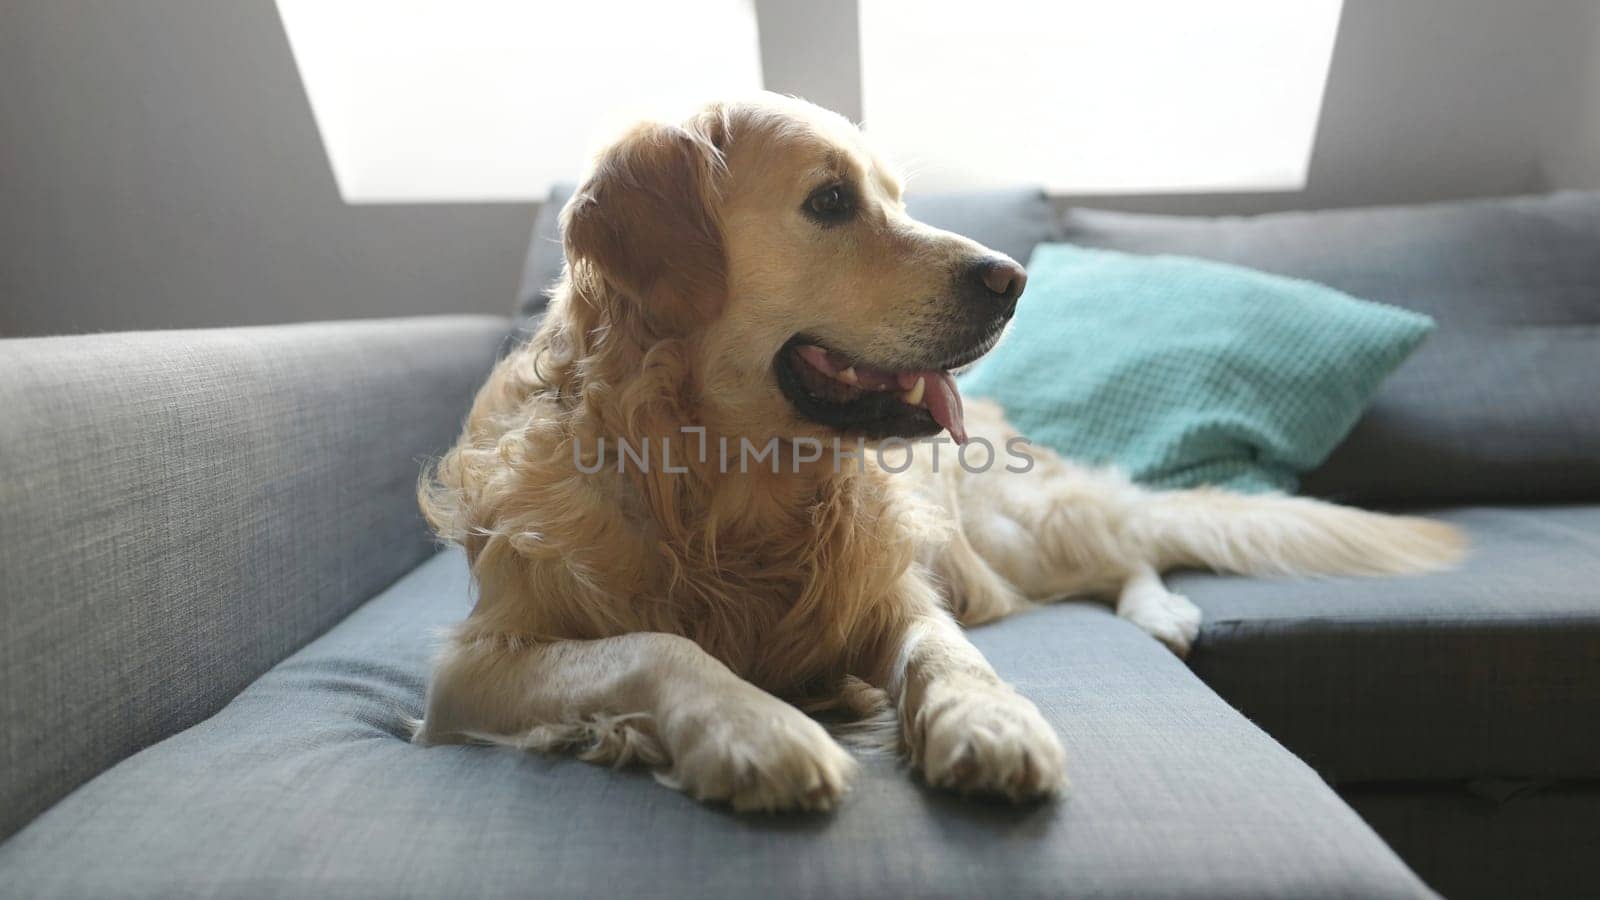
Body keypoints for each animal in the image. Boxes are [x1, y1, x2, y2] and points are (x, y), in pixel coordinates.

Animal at [409, 94, 1465, 810]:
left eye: (897, 198)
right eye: (831, 201)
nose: (1015, 280)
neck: (726, 480)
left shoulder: (891, 586)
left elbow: (945, 649)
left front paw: (990, 720)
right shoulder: (473, 669)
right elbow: (655, 645)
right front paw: (751, 727)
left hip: (1009, 531)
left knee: (1124, 546)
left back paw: (1161, 609)